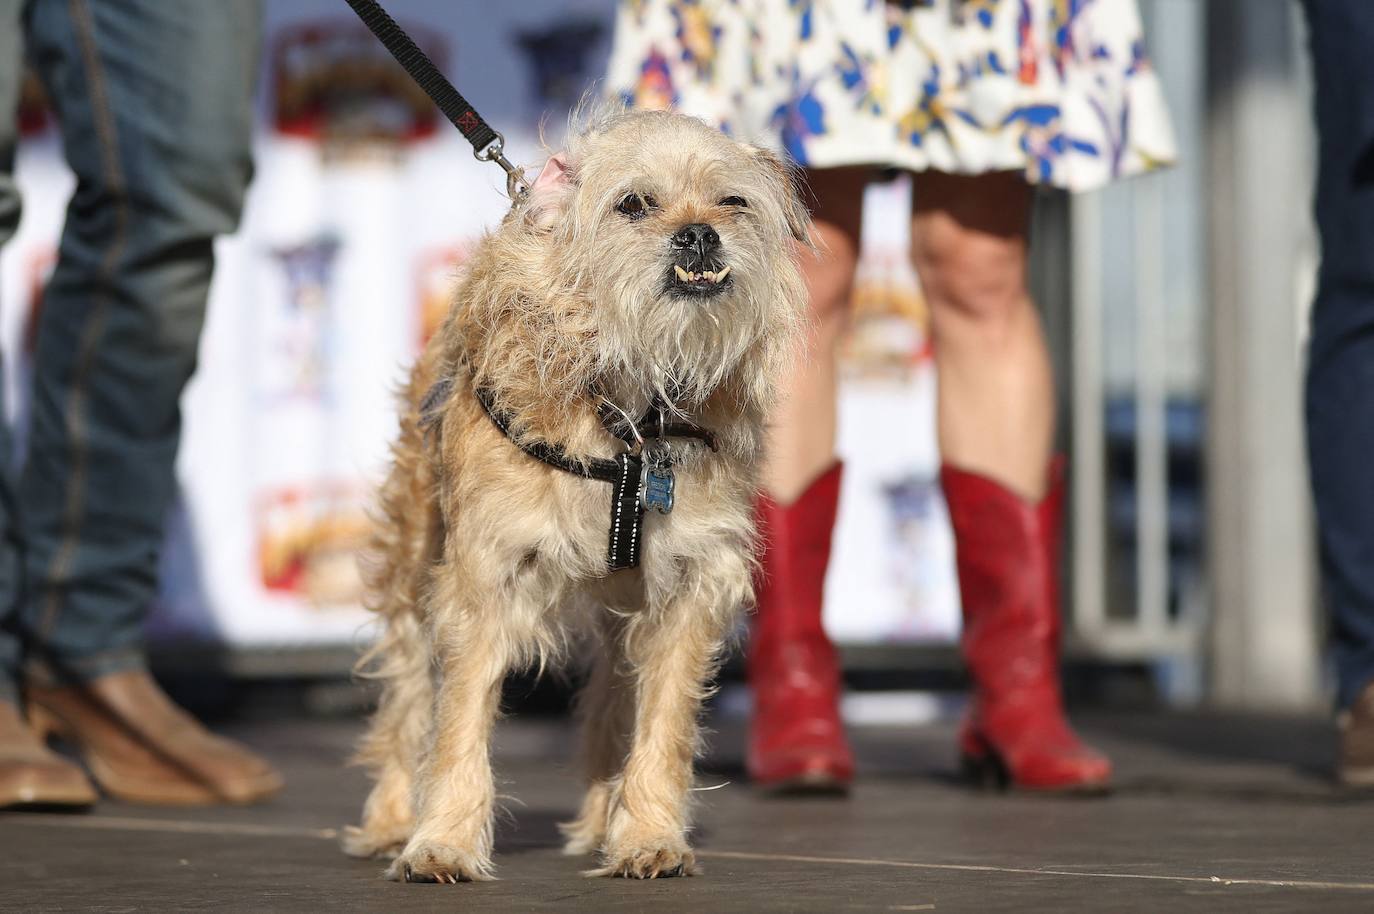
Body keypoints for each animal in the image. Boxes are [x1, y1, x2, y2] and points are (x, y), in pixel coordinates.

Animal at [343, 108, 807, 885]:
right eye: (634, 204)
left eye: (732, 202)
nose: (699, 233)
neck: (631, 415)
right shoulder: (485, 578)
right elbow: (459, 720)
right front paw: (442, 840)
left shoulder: (691, 582)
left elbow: (663, 721)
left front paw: (647, 834)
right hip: (413, 561)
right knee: (407, 692)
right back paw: (390, 818)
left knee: (613, 700)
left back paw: (601, 820)